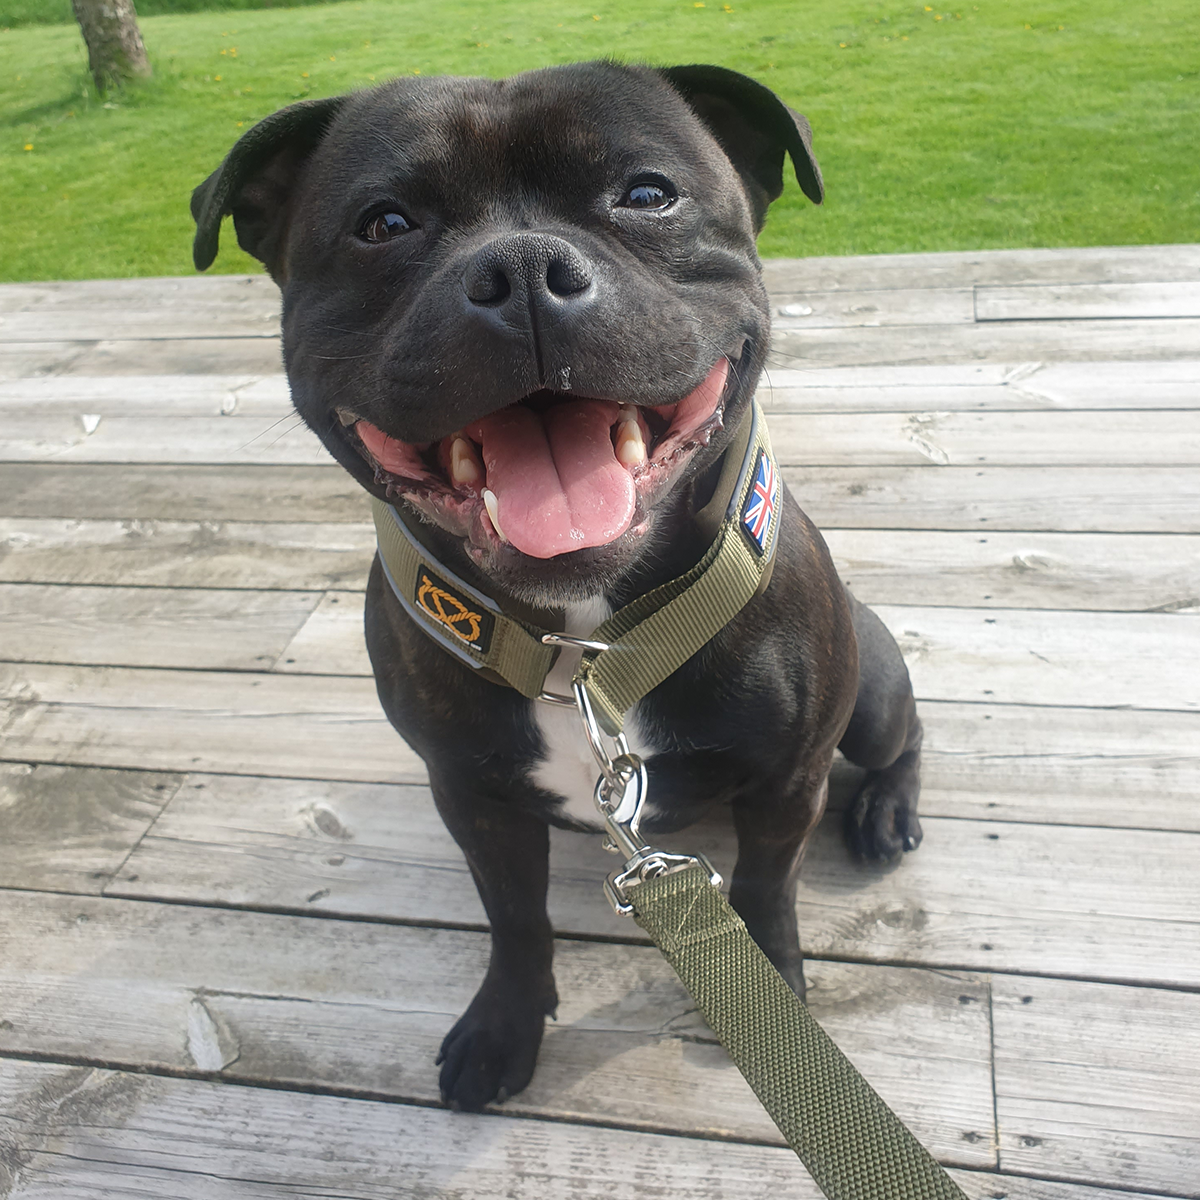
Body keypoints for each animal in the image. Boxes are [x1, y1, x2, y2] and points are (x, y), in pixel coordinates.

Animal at [192, 60, 921, 1113]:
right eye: (384, 223)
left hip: (872, 696)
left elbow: (766, 890)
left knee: (905, 740)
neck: (585, 644)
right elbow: (513, 918)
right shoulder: (473, 798)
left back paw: (888, 810)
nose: (523, 269)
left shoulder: (789, 781)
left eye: (648, 195)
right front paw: (503, 1025)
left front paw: (777, 988)